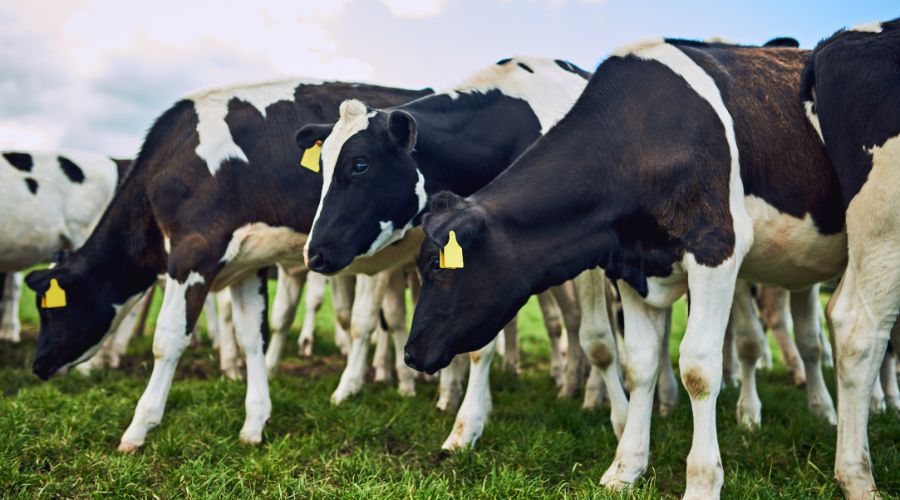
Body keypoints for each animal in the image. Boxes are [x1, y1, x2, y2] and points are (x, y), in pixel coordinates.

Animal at [25, 80, 432, 452]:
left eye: (53, 308)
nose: (38, 365)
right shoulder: (247, 266)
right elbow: (251, 337)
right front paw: (254, 422)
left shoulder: (193, 251)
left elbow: (167, 339)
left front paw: (138, 428)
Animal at [295, 56, 603, 448]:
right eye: (321, 167)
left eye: (359, 164)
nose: (314, 253)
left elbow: (480, 345)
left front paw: (467, 424)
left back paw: (587, 391)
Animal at [405, 38, 857, 498]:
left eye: (439, 267)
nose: (410, 352)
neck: (646, 137)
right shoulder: (630, 268)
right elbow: (640, 364)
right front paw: (626, 467)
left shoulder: (716, 248)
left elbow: (699, 367)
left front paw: (702, 481)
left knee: (818, 339)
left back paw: (828, 410)